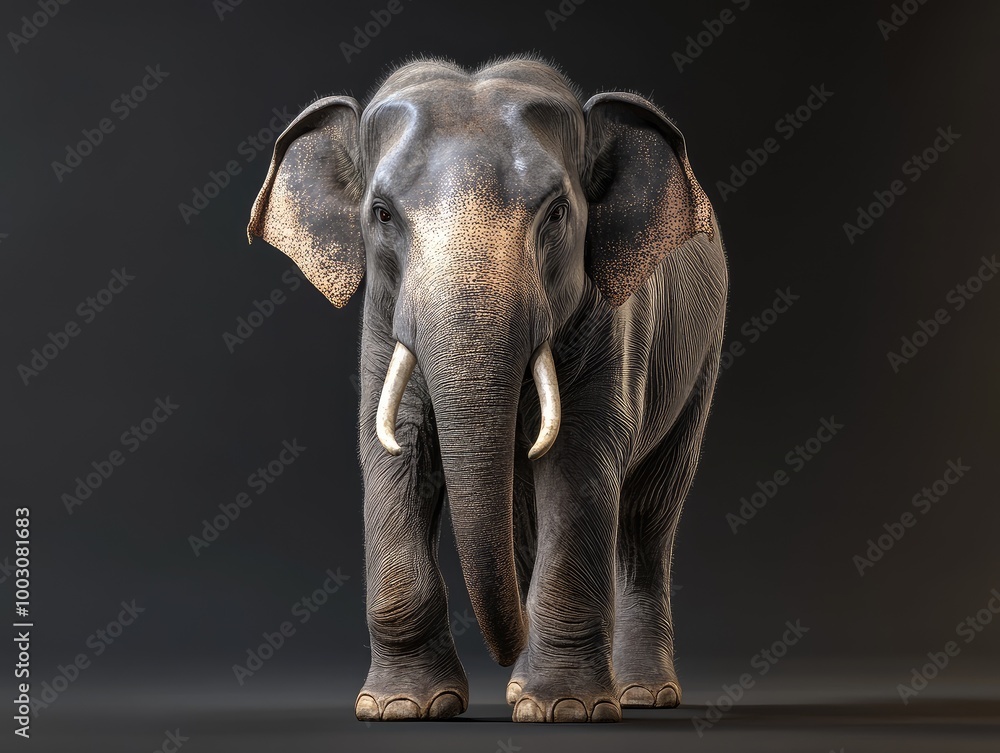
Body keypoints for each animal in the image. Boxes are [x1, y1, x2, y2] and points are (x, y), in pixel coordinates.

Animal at [247, 55, 727, 723]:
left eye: (557, 213)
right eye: (382, 214)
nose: (503, 658)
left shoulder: (614, 320)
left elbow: (579, 461)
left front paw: (566, 709)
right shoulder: (382, 323)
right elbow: (396, 455)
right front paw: (401, 708)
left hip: (699, 358)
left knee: (646, 517)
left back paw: (639, 695)